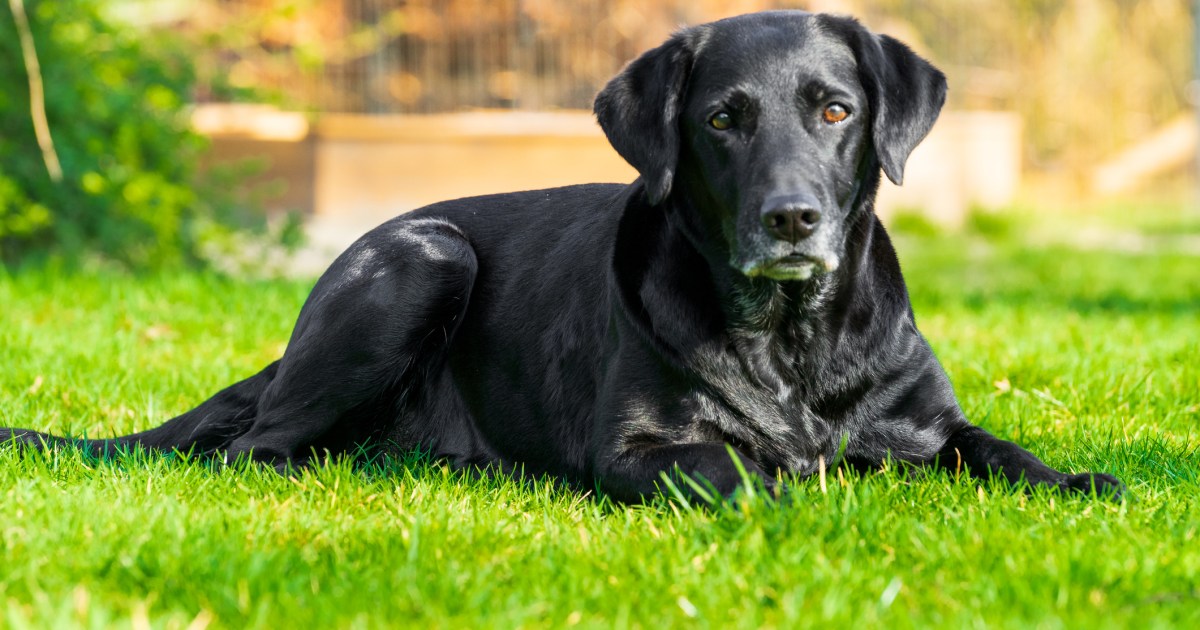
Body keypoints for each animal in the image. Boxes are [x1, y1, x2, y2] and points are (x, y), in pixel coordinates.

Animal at [2, 11, 1123, 501]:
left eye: (836, 110)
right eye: (724, 119)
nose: (792, 219)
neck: (790, 345)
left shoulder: (928, 425)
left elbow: (1001, 451)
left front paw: (1078, 480)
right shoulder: (638, 448)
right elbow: (735, 467)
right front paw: (800, 488)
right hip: (425, 254)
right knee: (254, 450)